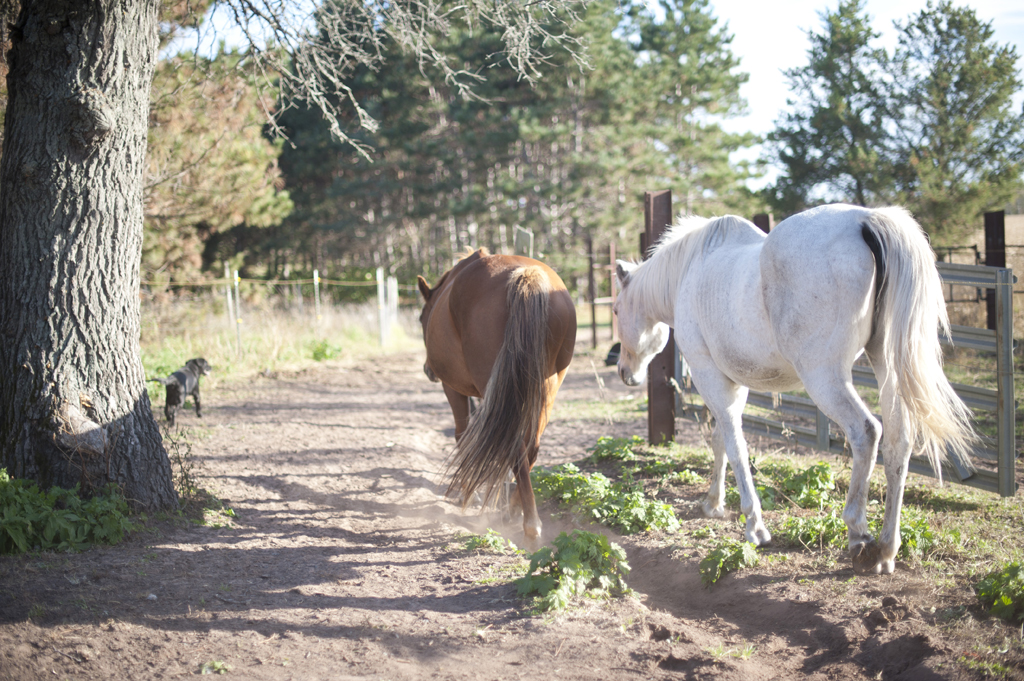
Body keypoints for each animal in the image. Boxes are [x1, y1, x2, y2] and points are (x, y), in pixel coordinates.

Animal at [415, 246, 577, 544]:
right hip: (547, 385)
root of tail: (527, 276)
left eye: (422, 318)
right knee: (530, 446)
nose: (428, 370)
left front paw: (473, 495)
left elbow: (463, 436)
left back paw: (530, 524)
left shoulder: (454, 389)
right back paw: (515, 511)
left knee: (513, 446)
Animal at [614, 202, 974, 573]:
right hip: (887, 368)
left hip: (824, 377)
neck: (689, 271)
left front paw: (754, 524)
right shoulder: (734, 383)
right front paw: (714, 503)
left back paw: (858, 534)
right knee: (898, 443)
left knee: (867, 432)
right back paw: (887, 548)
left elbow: (735, 445)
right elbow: (722, 440)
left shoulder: (709, 374)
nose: (624, 372)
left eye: (614, 310)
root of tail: (866, 219)